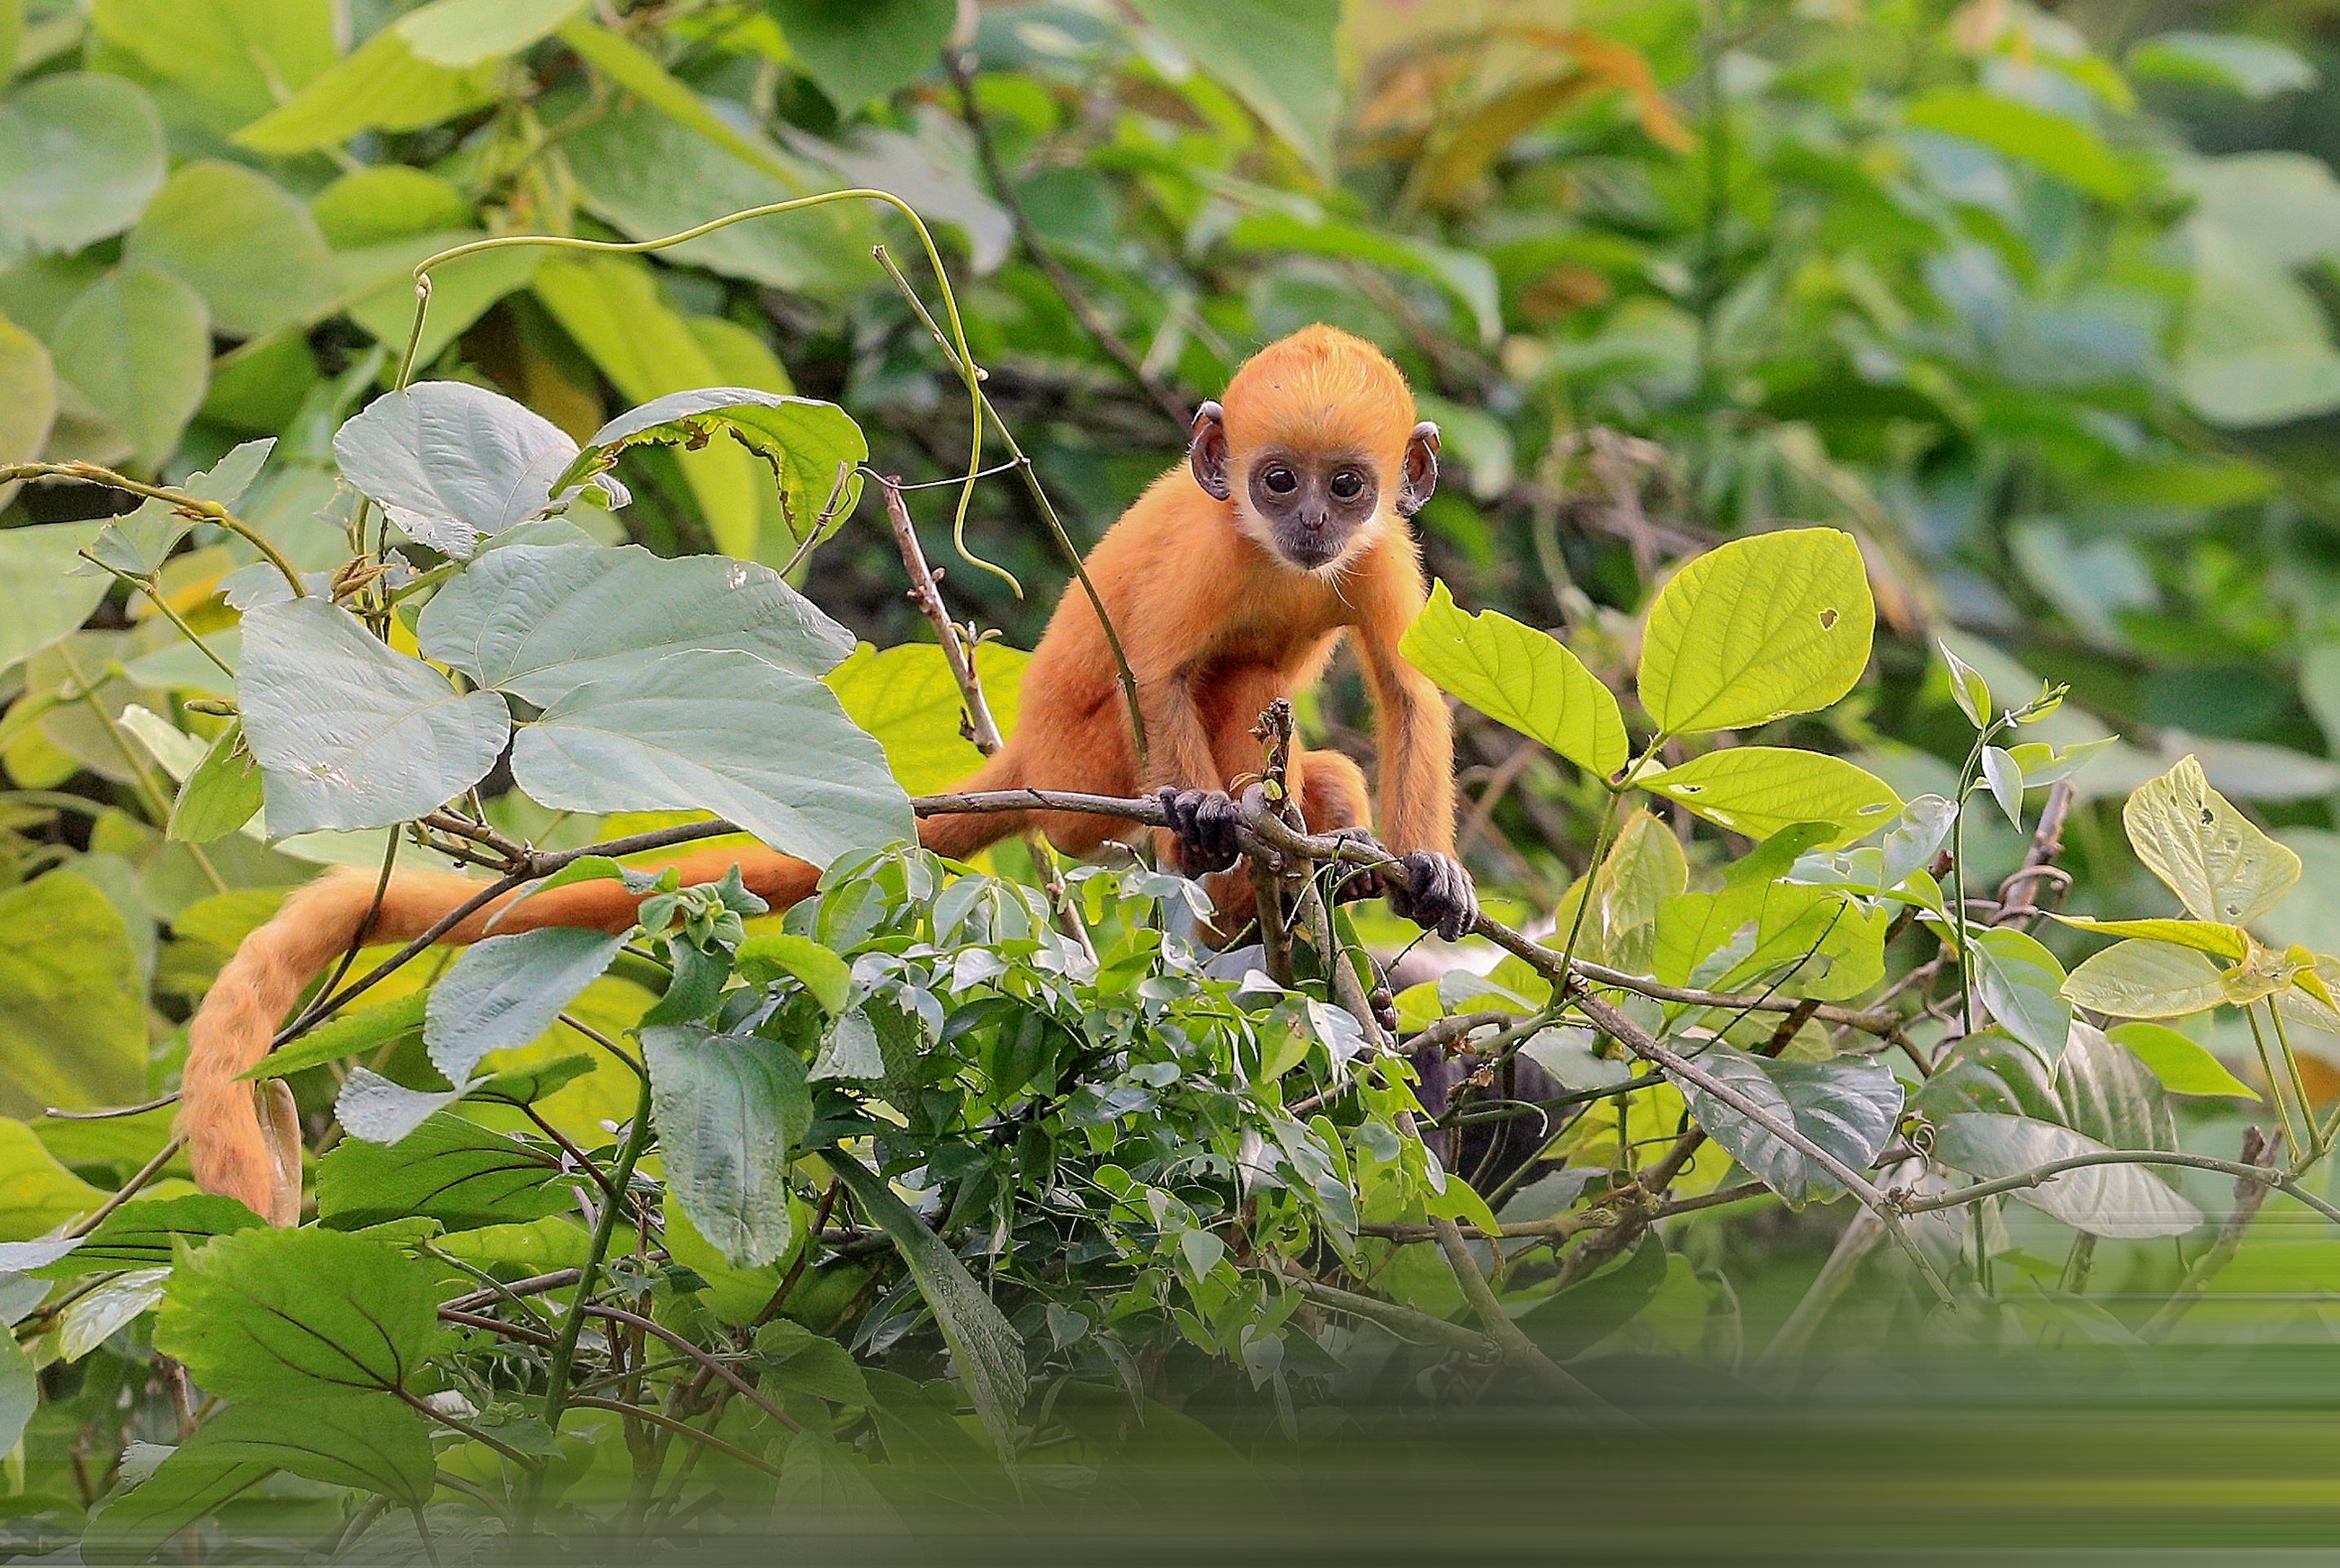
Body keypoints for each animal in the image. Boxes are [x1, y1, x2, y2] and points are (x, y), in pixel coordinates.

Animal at [180, 323, 1477, 1223]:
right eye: (1275, 480)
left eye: (1346, 485)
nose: (1309, 525)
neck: (1275, 560)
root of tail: (1024, 756)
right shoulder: (1210, 553)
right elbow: (1156, 670)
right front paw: (1204, 808)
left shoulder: (1379, 554)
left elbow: (1408, 692)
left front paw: (1426, 873)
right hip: (1085, 775)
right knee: (1199, 703)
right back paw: (1220, 863)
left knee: (1323, 767)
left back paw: (1307, 882)